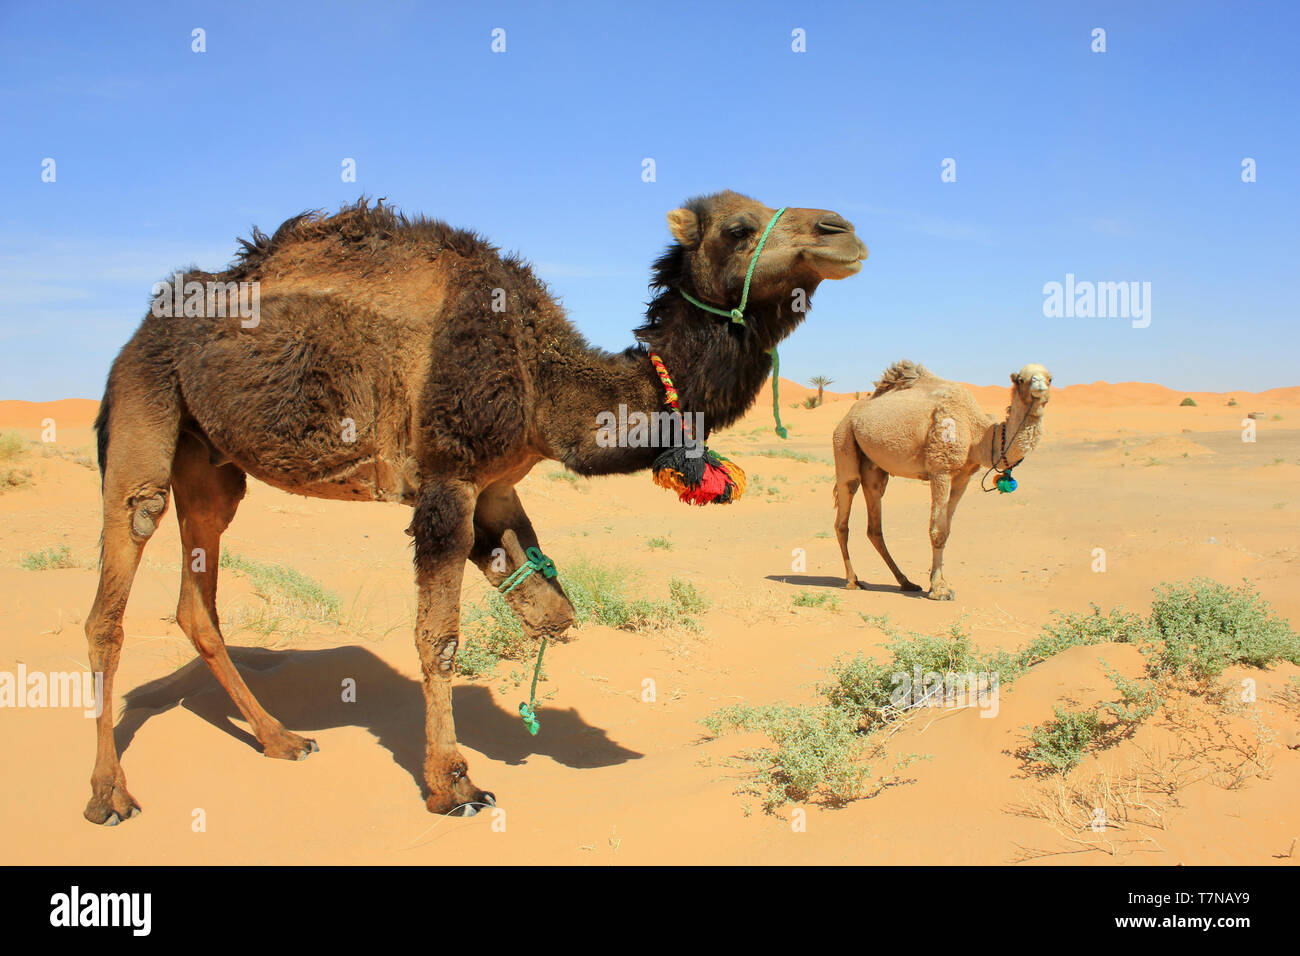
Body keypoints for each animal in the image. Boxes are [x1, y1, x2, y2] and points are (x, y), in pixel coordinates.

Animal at [86, 192, 868, 822]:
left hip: (212, 463)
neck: (542, 376)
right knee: (119, 573)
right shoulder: (448, 478)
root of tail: (141, 329)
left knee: (198, 599)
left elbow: (552, 612)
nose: (844, 231)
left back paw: (281, 739)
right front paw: (453, 785)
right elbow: (439, 639)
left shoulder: (498, 485)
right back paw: (109, 795)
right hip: (145, 400)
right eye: (739, 227)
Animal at [832, 358, 1055, 598]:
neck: (977, 433)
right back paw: (852, 580)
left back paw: (906, 582)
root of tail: (850, 414)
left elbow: (946, 530)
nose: (1039, 385)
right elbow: (937, 531)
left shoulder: (963, 476)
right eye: (1021, 379)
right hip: (844, 440)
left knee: (874, 524)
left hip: (875, 469)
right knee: (844, 512)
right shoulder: (941, 468)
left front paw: (937, 583)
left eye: (1050, 378)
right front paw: (939, 588)